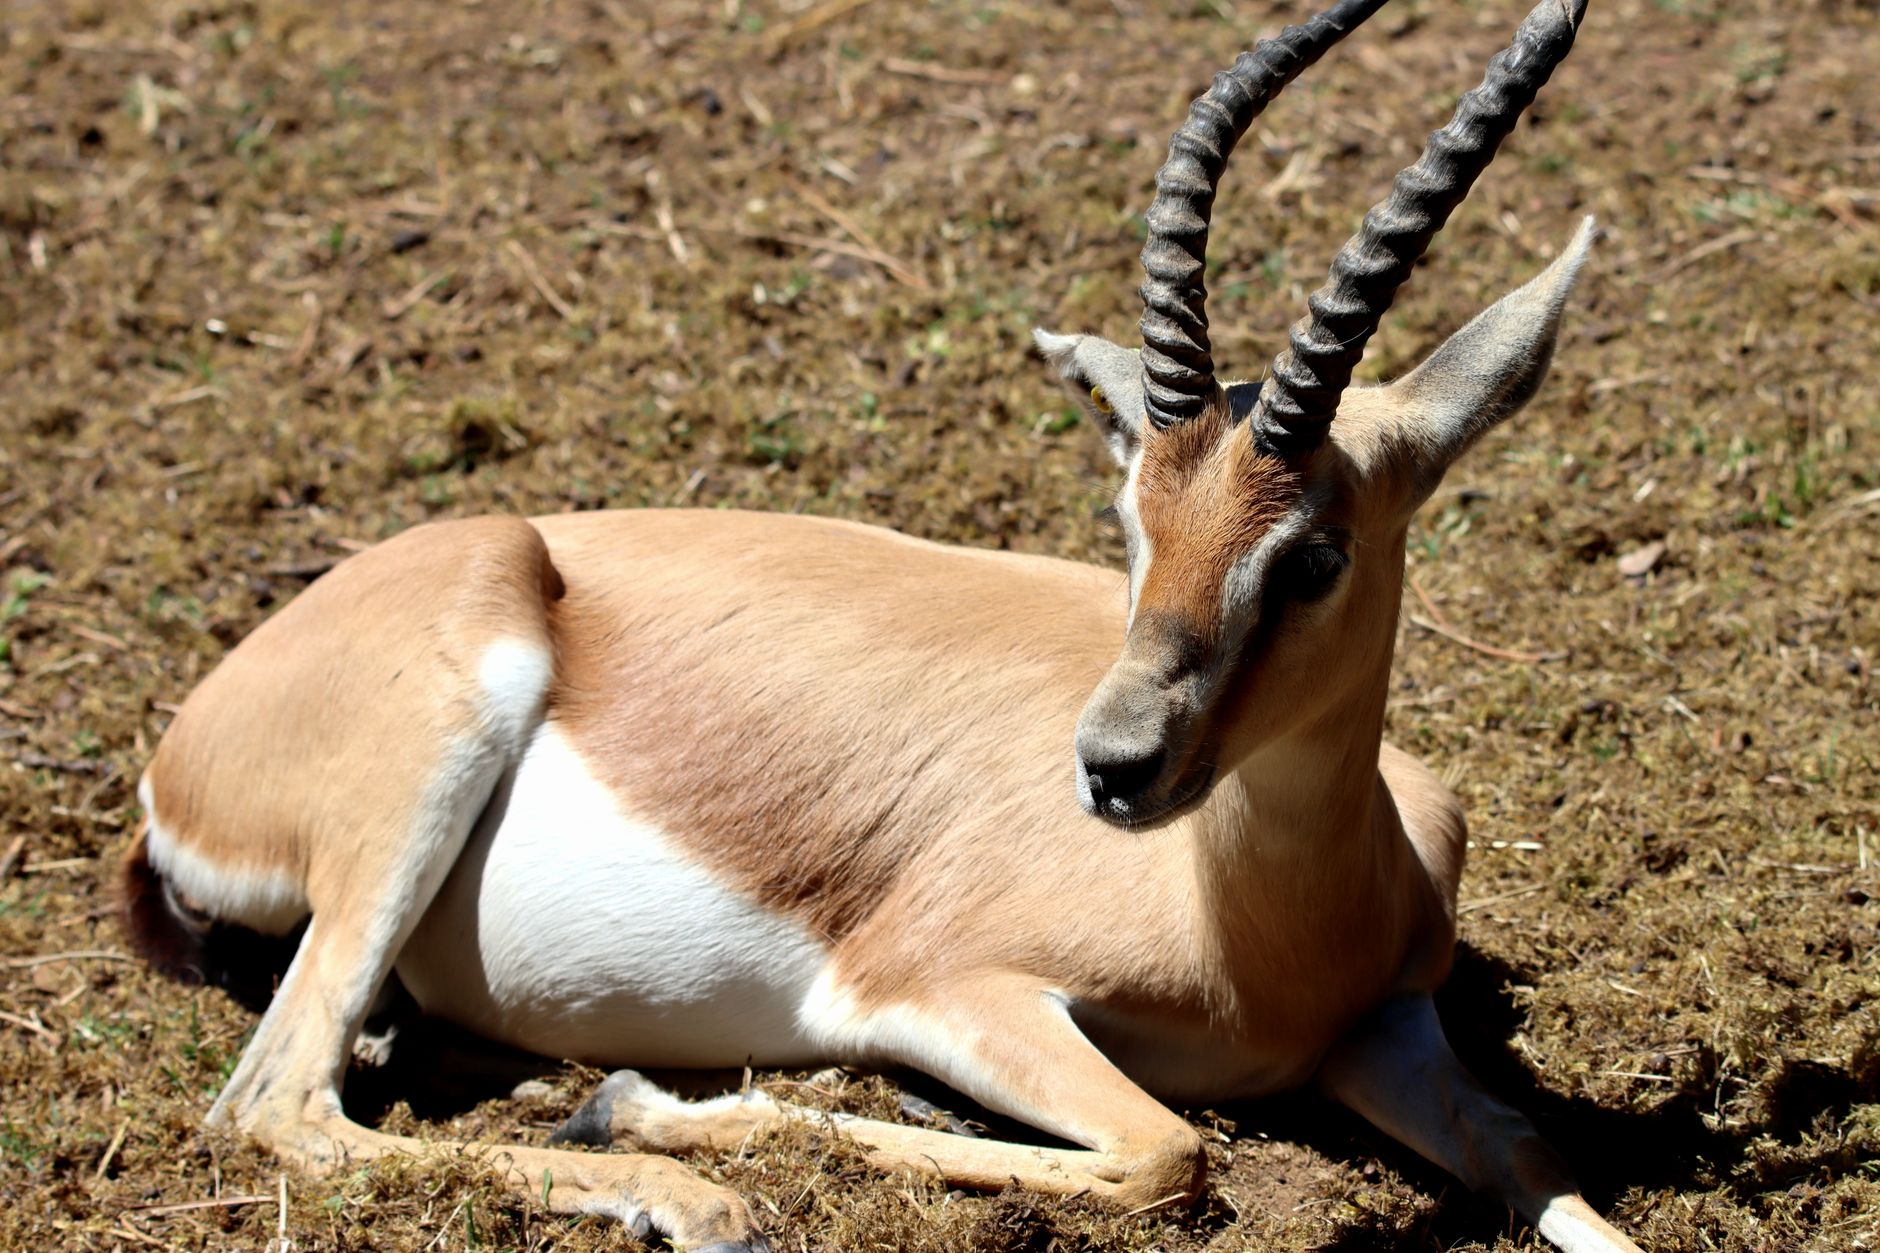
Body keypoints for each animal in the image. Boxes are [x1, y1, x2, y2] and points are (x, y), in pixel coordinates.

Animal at [121, 0, 1639, 1250]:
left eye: (1312, 554)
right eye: (1132, 522)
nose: (1113, 769)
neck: (1266, 931)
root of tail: (181, 759)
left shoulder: (1390, 1030)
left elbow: (1531, 1152)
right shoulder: (938, 989)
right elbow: (1170, 1151)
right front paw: (639, 1104)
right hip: (421, 772)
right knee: (275, 1102)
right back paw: (685, 1196)